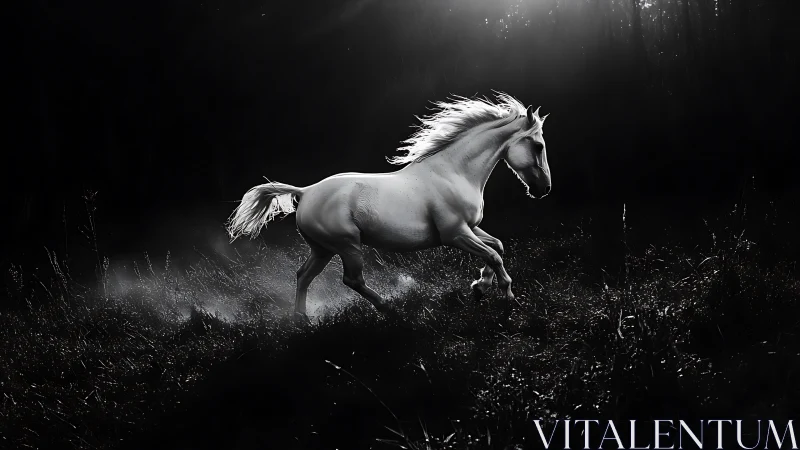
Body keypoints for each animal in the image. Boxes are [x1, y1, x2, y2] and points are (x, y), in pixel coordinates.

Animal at [226, 92, 550, 320]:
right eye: (538, 146)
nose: (544, 189)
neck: (452, 172)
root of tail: (305, 193)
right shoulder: (455, 234)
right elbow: (493, 255)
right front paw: (508, 298)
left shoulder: (470, 228)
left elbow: (497, 246)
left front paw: (480, 288)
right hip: (347, 245)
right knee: (352, 279)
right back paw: (389, 309)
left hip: (322, 249)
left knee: (303, 275)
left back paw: (301, 320)